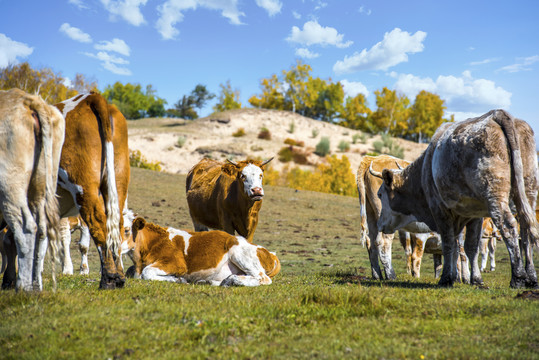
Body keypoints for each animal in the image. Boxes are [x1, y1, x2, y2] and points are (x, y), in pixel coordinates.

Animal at [0, 88, 65, 292]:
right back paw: (35, 284)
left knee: (26, 226)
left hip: (10, 183)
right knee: (41, 229)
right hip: (41, 183)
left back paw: (23, 286)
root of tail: (27, 100)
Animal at [126, 217, 278, 286]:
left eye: (126, 230)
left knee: (263, 278)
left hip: (240, 254)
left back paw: (233, 280)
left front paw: (177, 279)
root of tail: (270, 253)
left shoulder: (177, 263)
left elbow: (147, 272)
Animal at [376, 108, 539, 288]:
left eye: (380, 194)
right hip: (529, 192)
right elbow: (469, 246)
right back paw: (531, 277)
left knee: (509, 227)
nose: (379, 224)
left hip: (495, 197)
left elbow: (449, 242)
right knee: (526, 232)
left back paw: (518, 277)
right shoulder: (473, 215)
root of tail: (497, 114)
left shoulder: (439, 209)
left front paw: (447, 278)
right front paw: (474, 279)